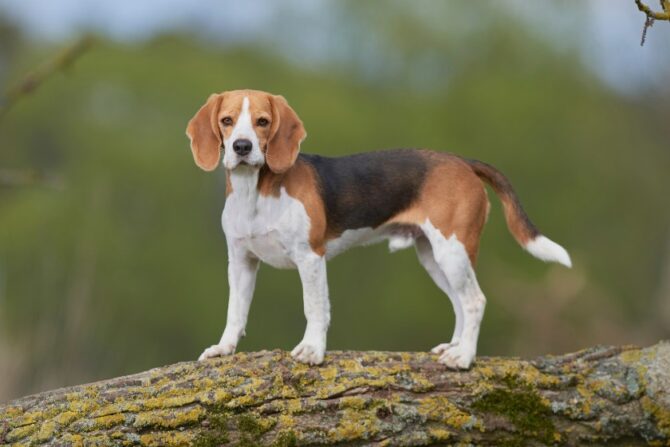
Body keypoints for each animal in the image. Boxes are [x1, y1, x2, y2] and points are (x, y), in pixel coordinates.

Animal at [185, 89, 572, 370]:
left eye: (263, 122)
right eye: (227, 121)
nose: (242, 146)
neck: (256, 192)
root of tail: (462, 162)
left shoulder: (310, 258)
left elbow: (315, 308)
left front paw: (312, 350)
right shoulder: (241, 261)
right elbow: (235, 310)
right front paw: (224, 348)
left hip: (453, 249)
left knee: (474, 301)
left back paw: (463, 358)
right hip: (434, 257)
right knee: (460, 303)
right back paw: (455, 346)